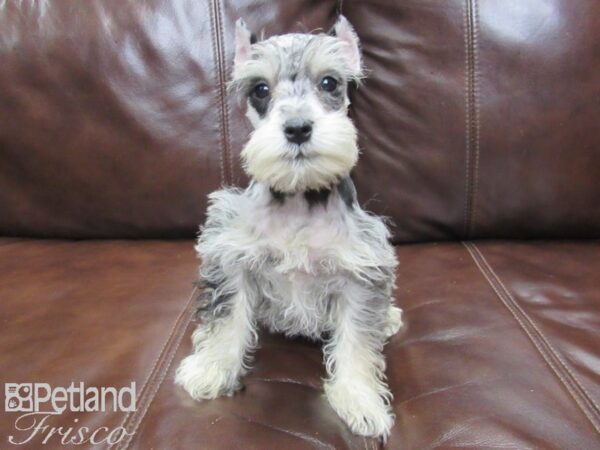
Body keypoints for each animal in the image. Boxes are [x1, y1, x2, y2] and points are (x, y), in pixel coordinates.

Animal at [178, 14, 404, 440]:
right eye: (260, 89)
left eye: (330, 82)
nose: (298, 128)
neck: (299, 198)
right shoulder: (231, 260)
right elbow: (227, 321)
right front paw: (211, 370)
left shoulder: (361, 275)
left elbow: (356, 340)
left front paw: (360, 398)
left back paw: (391, 318)